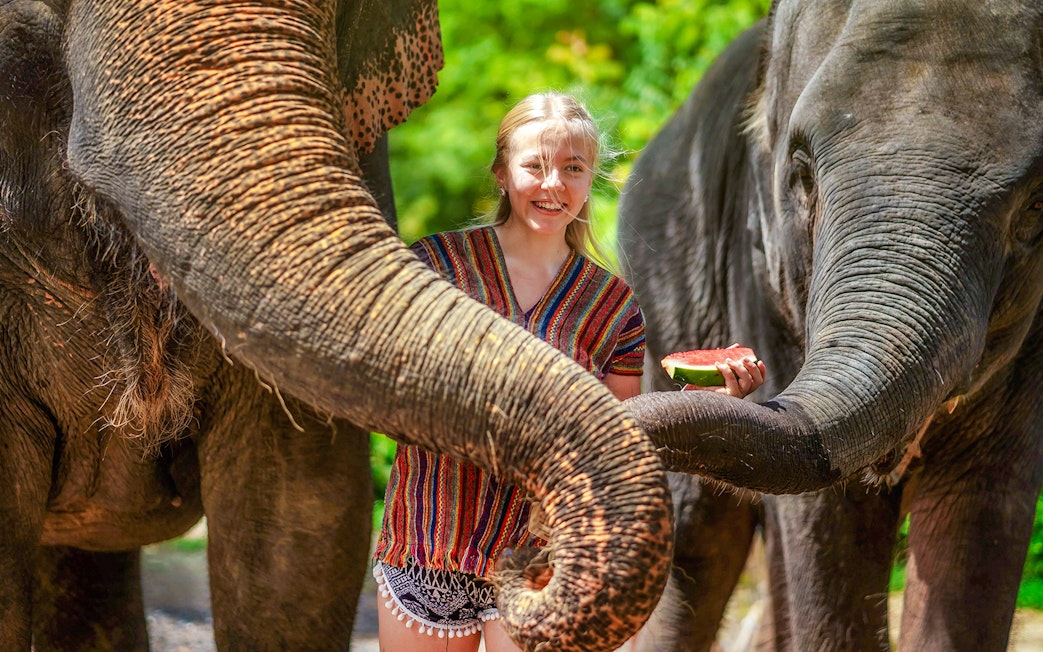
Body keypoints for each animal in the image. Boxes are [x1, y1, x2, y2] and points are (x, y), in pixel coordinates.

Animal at [617, 1, 1043, 650]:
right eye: (802, 173)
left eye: (1038, 207)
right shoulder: (761, 270)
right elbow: (822, 522)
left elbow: (982, 513)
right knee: (698, 541)